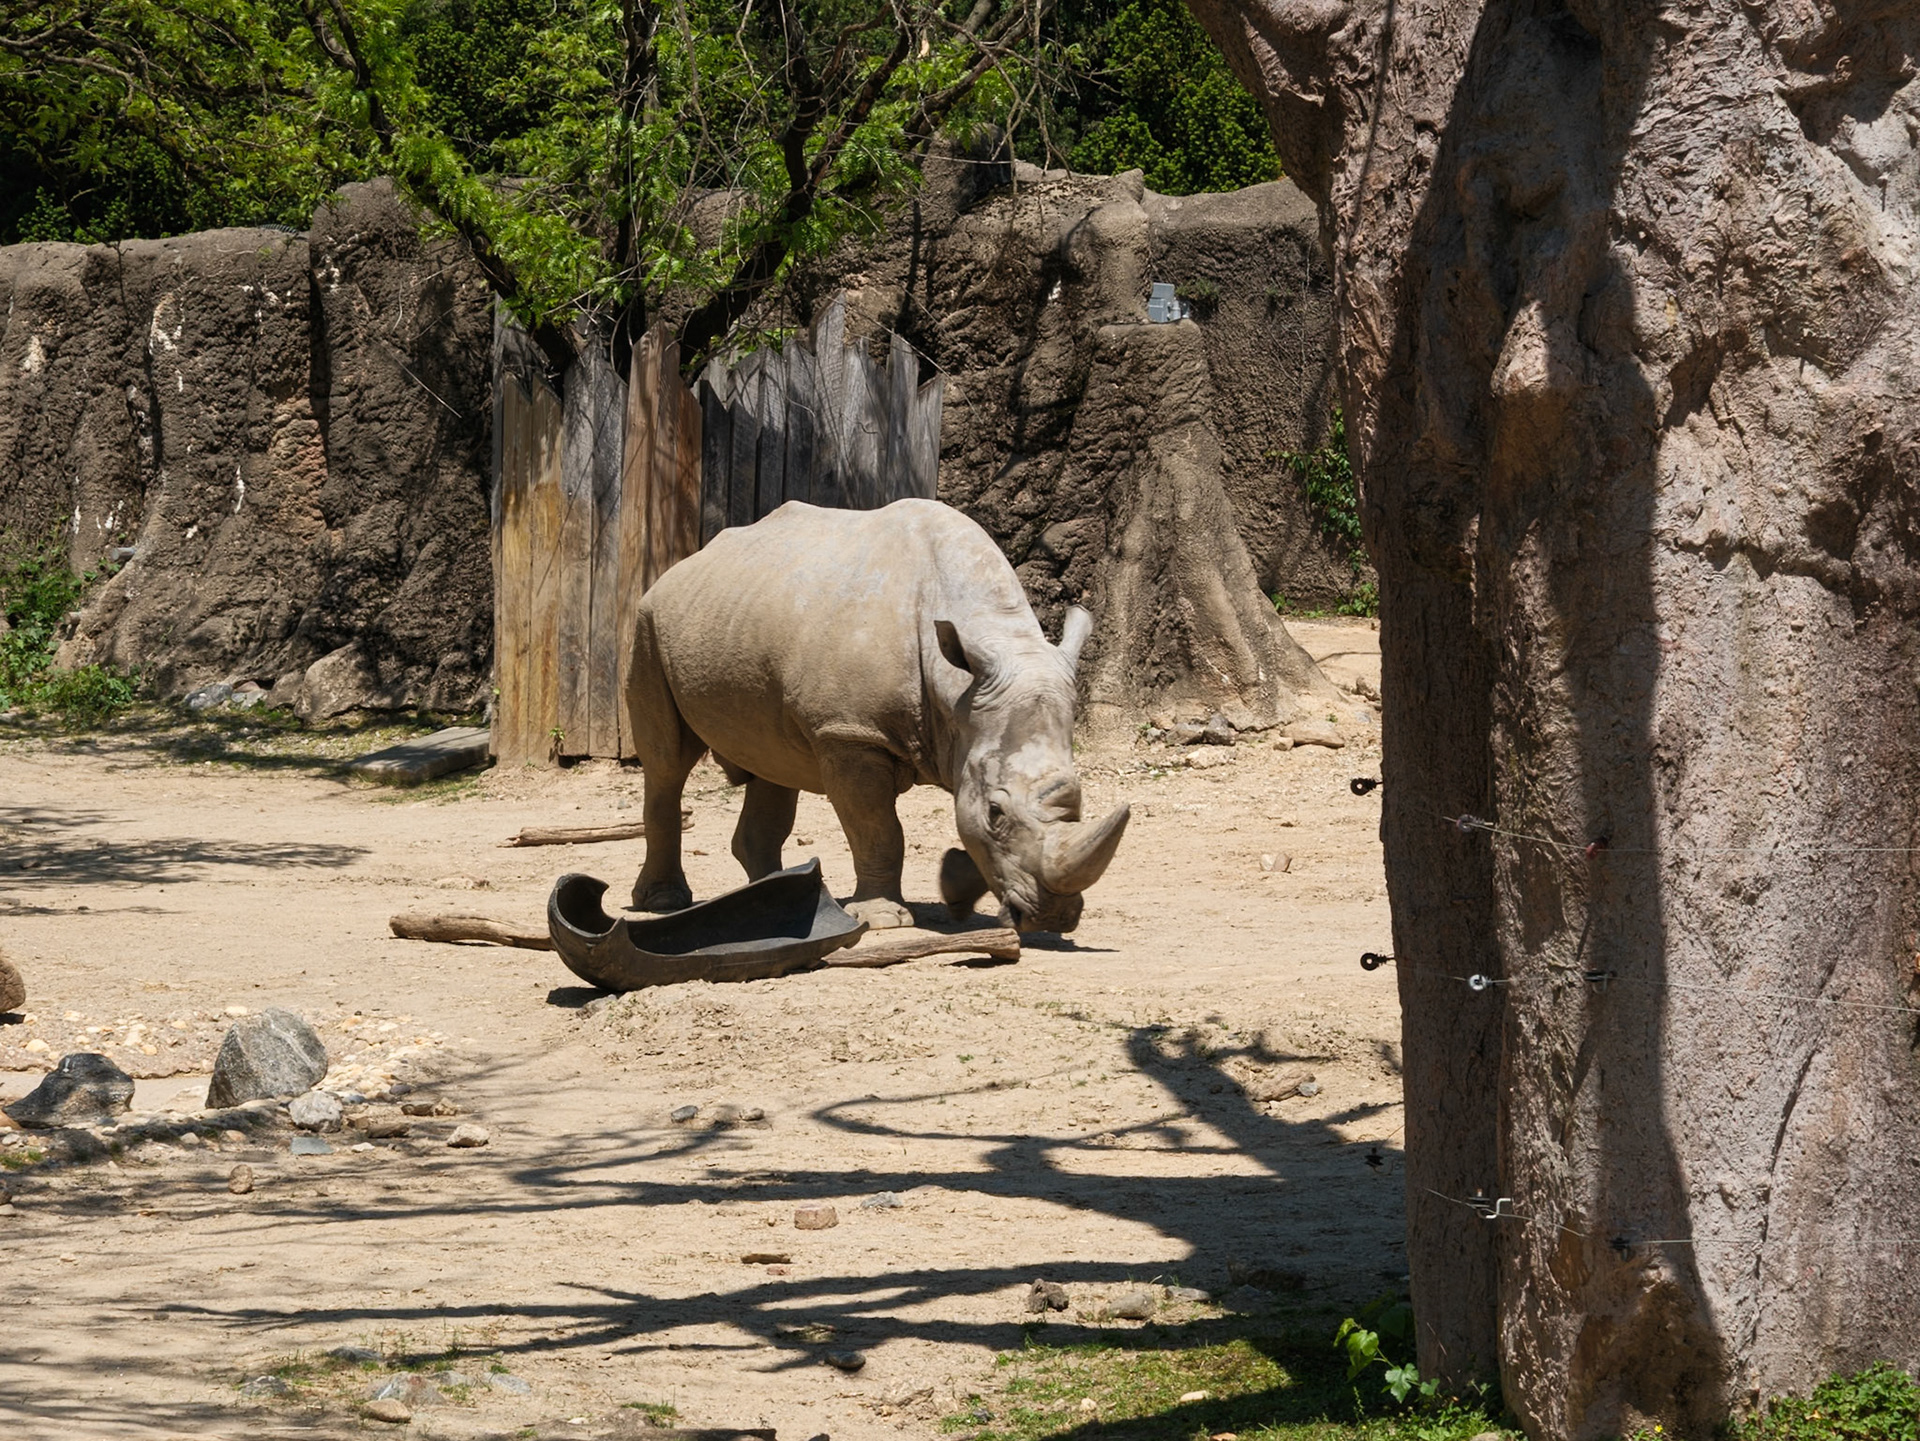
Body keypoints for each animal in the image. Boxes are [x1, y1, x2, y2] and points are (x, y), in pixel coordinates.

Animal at [625, 498, 1129, 933]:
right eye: (996, 812)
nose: (1053, 918)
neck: (958, 688)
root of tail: (685, 563)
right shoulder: (850, 732)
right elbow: (878, 827)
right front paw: (884, 920)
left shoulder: (965, 733)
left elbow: (957, 824)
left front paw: (956, 890)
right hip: (648, 623)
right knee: (667, 762)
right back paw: (665, 902)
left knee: (772, 761)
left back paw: (774, 901)